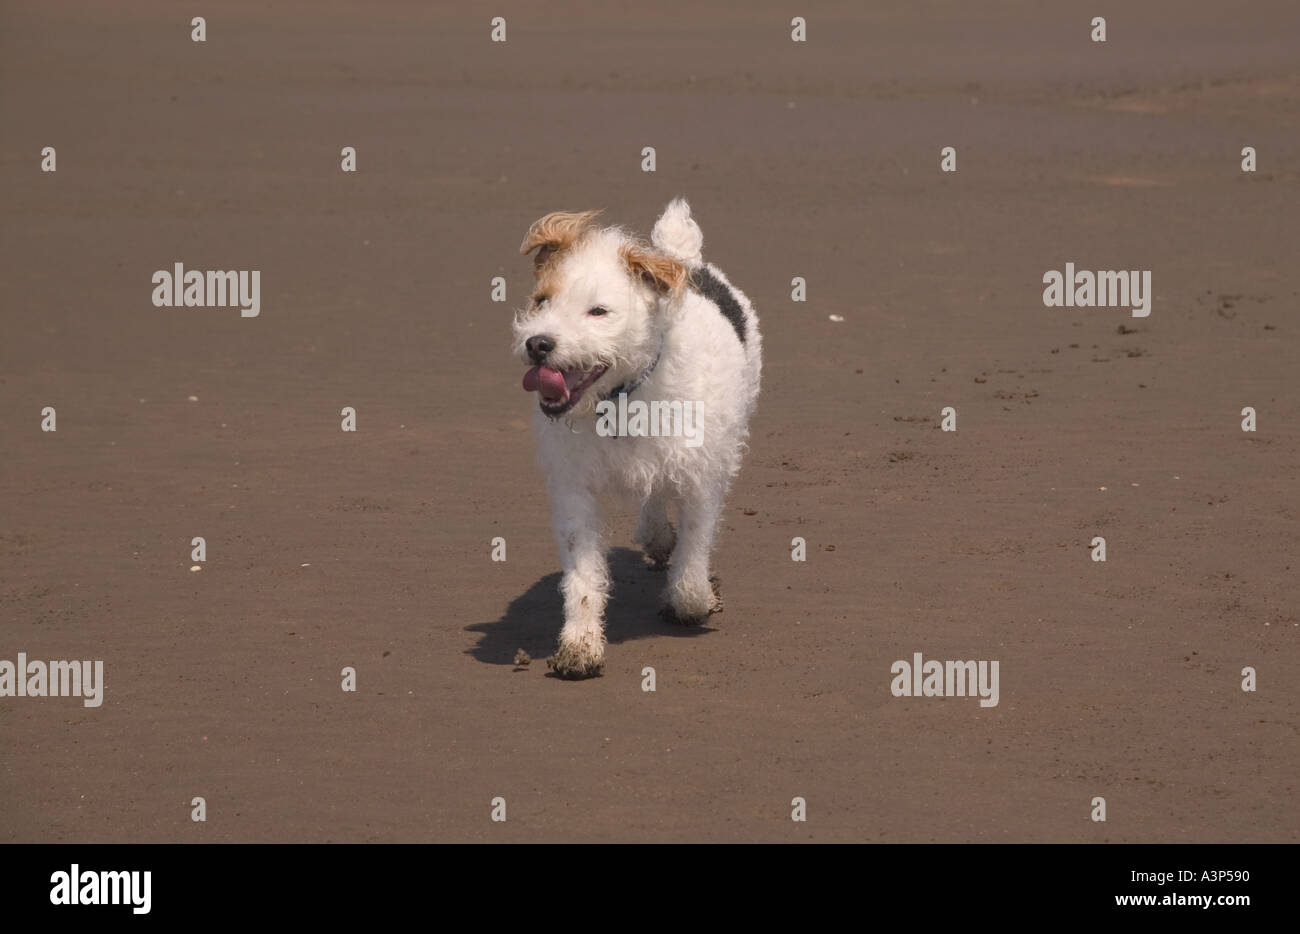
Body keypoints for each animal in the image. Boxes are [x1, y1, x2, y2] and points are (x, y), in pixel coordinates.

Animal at [512, 199, 759, 681]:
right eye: (542, 300)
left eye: (598, 311)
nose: (538, 344)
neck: (622, 399)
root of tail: (684, 258)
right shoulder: (575, 490)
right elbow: (583, 575)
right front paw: (580, 645)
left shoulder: (701, 479)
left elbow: (693, 560)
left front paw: (694, 601)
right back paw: (656, 535)